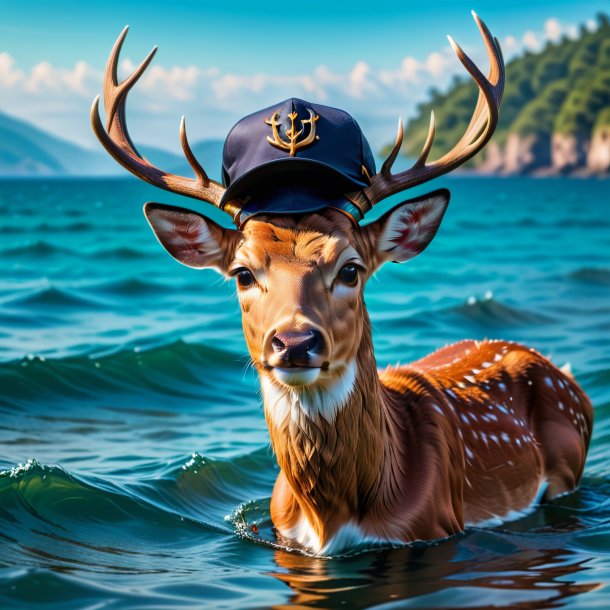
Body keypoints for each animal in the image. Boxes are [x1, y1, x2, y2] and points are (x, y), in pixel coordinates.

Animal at [92, 14, 592, 556]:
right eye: (243, 272)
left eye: (351, 269)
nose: (294, 341)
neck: (332, 515)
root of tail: (558, 370)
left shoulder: (436, 527)